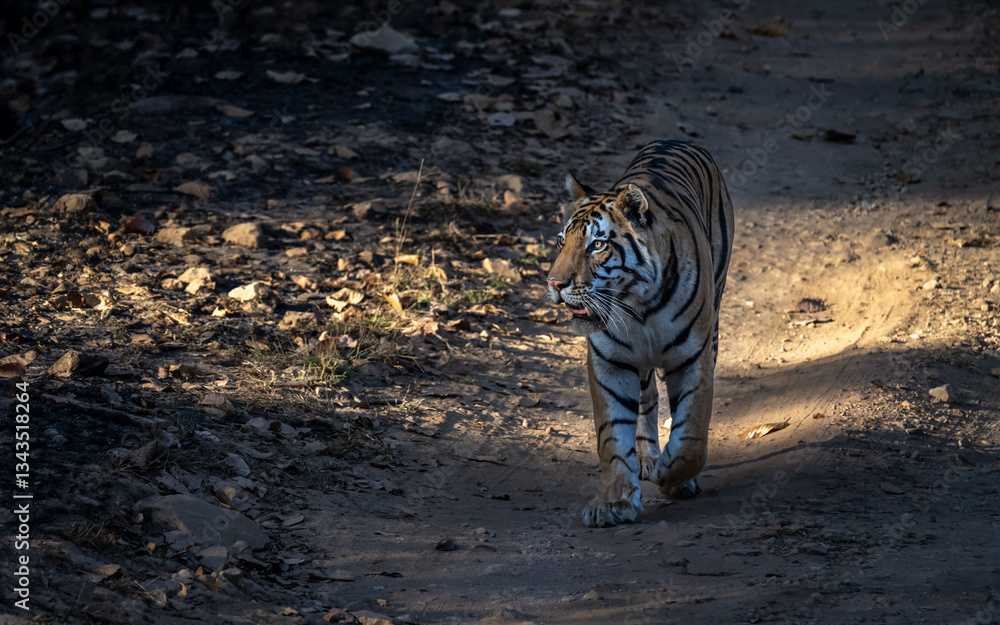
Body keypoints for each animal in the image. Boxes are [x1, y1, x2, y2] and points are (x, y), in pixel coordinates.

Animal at [546, 139, 734, 527]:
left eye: (597, 245)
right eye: (560, 242)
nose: (554, 283)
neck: (638, 305)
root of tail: (675, 140)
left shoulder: (693, 357)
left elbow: (691, 436)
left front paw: (672, 475)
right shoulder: (611, 362)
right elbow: (613, 437)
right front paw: (614, 502)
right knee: (647, 400)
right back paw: (647, 458)